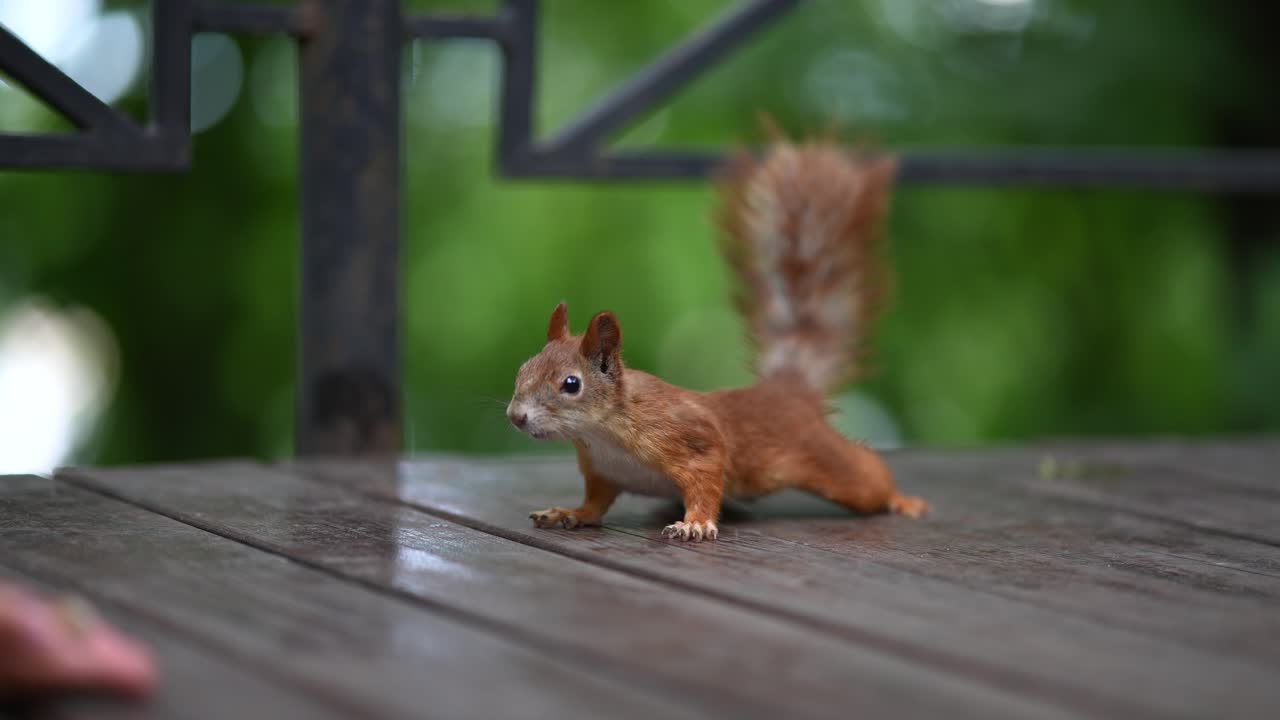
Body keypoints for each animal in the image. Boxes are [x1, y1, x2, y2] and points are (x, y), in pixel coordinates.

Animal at [506, 138, 927, 541]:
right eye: (522, 369)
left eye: (571, 384)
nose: (515, 416)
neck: (601, 433)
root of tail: (786, 392)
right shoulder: (603, 471)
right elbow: (595, 502)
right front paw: (570, 513)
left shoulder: (693, 441)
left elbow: (706, 482)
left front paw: (694, 524)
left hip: (828, 461)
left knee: (867, 478)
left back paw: (902, 500)